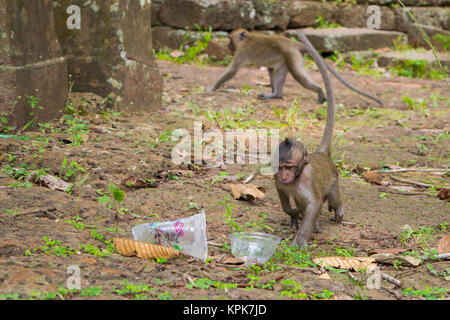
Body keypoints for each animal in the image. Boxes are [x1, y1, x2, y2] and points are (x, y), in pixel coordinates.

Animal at [206, 28, 382, 107]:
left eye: (230, 39)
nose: (228, 46)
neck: (246, 38)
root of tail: (294, 43)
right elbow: (271, 70)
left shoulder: (242, 51)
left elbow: (232, 71)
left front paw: (211, 88)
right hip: (287, 58)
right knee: (280, 72)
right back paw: (276, 95)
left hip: (292, 56)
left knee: (299, 76)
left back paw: (320, 92)